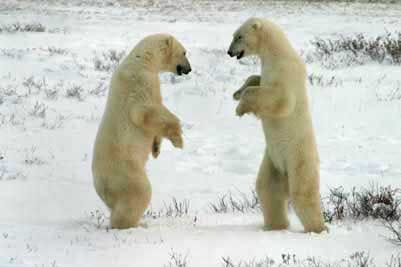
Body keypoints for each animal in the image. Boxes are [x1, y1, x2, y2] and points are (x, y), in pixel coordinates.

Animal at [92, 33, 191, 230]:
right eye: (184, 52)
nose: (189, 69)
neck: (143, 59)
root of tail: (101, 185)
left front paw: (156, 149)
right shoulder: (140, 81)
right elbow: (147, 112)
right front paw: (178, 139)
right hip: (126, 172)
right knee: (140, 193)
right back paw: (134, 224)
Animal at [227, 17, 326, 233]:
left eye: (239, 36)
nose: (229, 52)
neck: (276, 52)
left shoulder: (284, 71)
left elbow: (280, 99)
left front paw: (239, 108)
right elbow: (256, 79)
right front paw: (237, 92)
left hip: (299, 158)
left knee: (303, 193)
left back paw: (318, 229)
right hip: (273, 161)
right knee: (267, 188)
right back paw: (274, 226)